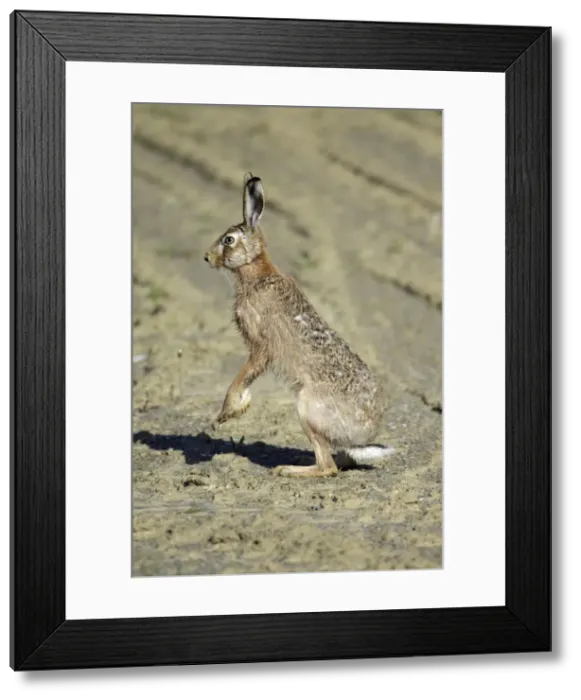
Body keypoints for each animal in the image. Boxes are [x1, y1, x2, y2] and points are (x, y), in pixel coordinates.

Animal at [203, 172, 395, 477]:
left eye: (229, 240)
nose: (207, 258)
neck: (255, 272)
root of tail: (363, 437)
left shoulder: (260, 345)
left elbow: (240, 379)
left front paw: (225, 415)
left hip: (307, 408)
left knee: (327, 467)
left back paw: (287, 470)